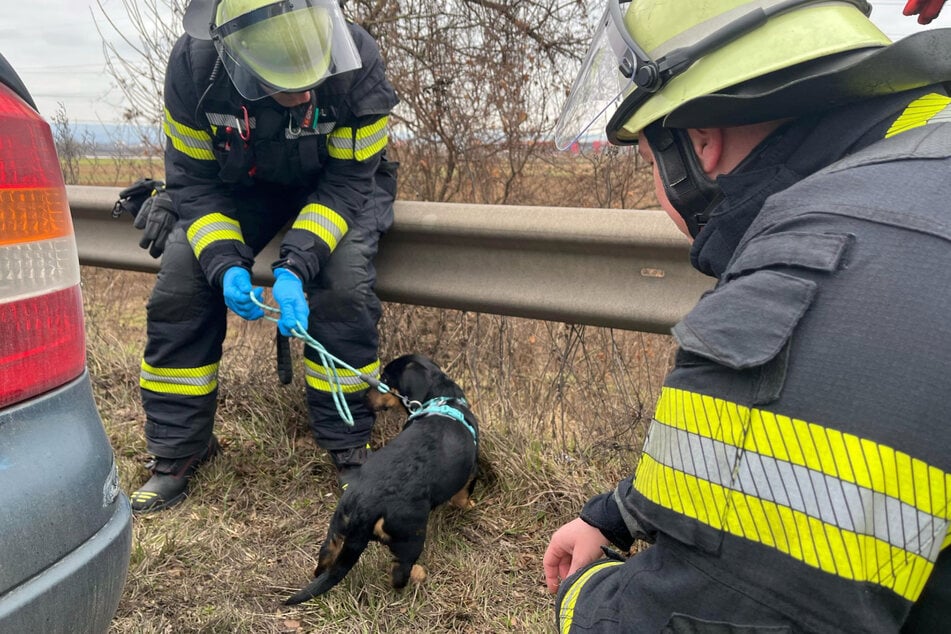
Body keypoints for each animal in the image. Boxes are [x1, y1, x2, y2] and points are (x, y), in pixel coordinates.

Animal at [280, 350, 476, 604]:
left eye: (385, 380)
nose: (363, 398)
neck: (443, 400)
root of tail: (365, 505)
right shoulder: (471, 472)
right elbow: (463, 496)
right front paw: (469, 506)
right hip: (411, 536)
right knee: (399, 572)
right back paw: (416, 577)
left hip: (338, 523)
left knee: (326, 555)